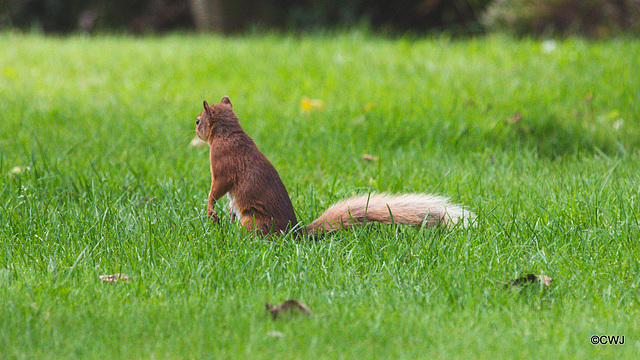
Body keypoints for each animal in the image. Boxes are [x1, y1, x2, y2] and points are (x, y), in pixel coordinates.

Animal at [192, 97, 472, 235]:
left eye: (198, 120)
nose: (193, 130)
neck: (227, 133)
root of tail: (294, 233)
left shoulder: (222, 164)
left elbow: (217, 187)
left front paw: (210, 208)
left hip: (252, 221)